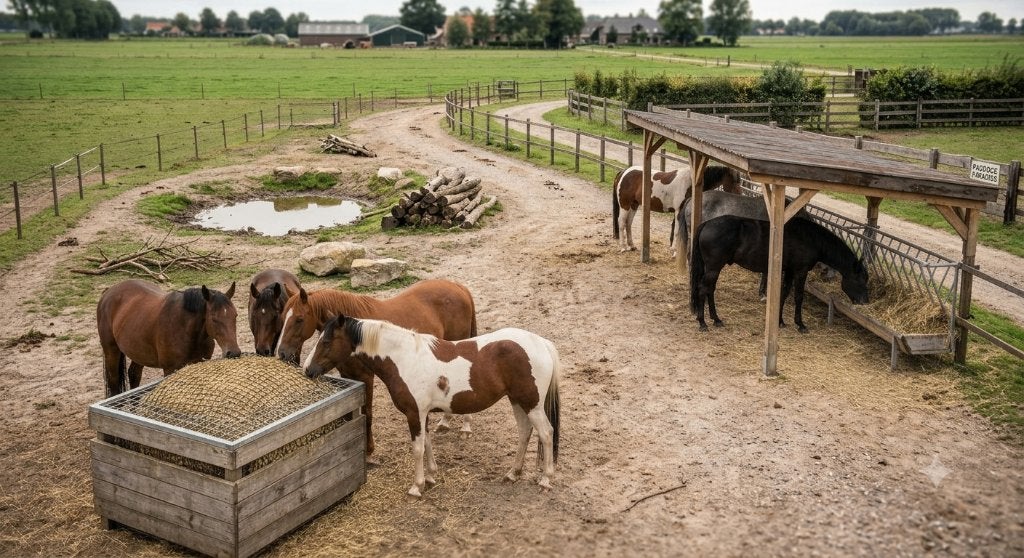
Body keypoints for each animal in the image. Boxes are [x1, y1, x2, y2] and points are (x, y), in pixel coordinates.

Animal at [96, 279, 242, 397]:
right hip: (111, 351)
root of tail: (108, 292)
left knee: (134, 375)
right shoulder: (170, 370)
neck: (186, 329)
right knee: (114, 382)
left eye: (235, 315)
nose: (233, 353)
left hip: (138, 351)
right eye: (214, 319)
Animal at [277, 278, 478, 458]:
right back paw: (446, 421)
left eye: (299, 319)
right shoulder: (349, 375)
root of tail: (458, 287)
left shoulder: (366, 377)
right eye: (282, 318)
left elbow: (368, 413)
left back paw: (465, 425)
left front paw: (369, 451)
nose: (282, 353)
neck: (356, 334)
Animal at [303, 314, 560, 497]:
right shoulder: (422, 413)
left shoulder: (414, 413)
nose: (307, 370)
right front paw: (430, 476)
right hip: (518, 401)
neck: (404, 358)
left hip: (532, 403)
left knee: (546, 433)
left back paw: (546, 479)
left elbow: (417, 448)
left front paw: (417, 486)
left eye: (326, 341)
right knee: (525, 432)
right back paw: (513, 473)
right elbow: (427, 442)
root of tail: (542, 343)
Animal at [613, 165, 743, 253]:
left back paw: (631, 245)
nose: (740, 197)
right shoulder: (679, 210)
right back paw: (623, 247)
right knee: (622, 222)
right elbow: (677, 231)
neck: (691, 183)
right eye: (734, 181)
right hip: (625, 205)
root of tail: (624, 172)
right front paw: (675, 250)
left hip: (634, 205)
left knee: (628, 223)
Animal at [689, 215, 870, 333]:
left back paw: (716, 319)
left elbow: (783, 294)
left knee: (709, 290)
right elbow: (798, 297)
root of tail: (707, 224)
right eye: (860, 280)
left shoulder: (789, 271)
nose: (865, 302)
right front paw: (800, 324)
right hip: (713, 268)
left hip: (712, 268)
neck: (811, 238)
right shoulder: (800, 271)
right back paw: (703, 322)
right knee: (703, 289)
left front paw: (780, 321)